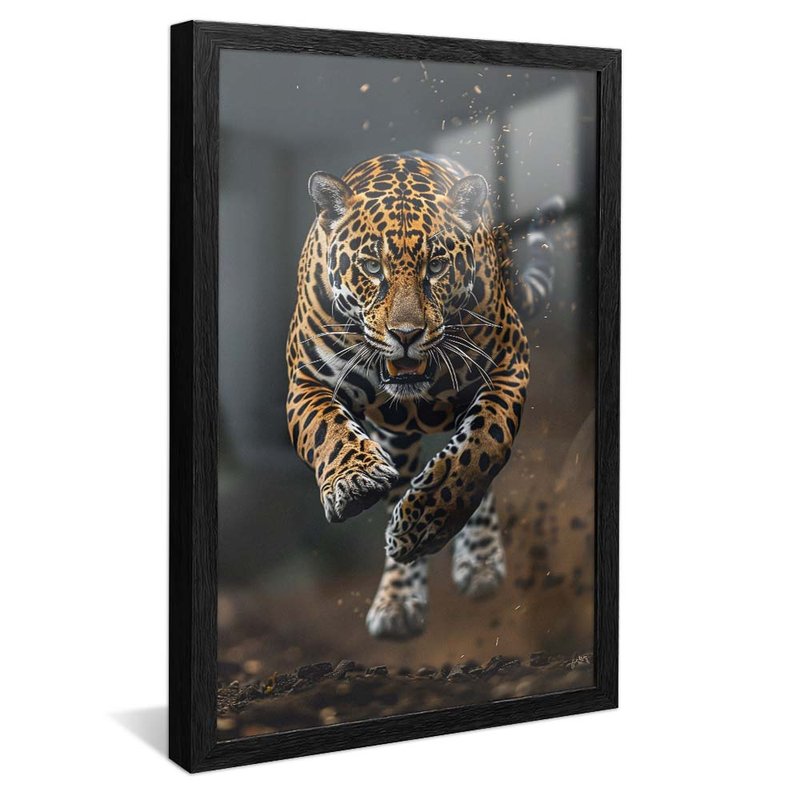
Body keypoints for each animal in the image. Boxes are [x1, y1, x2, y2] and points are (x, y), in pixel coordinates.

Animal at [285, 152, 556, 640]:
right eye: (373, 267)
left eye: (436, 266)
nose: (406, 334)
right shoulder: (305, 380)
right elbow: (328, 431)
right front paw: (355, 483)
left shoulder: (509, 363)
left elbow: (480, 450)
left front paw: (426, 525)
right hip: (394, 438)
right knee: (398, 484)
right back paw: (397, 599)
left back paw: (477, 560)